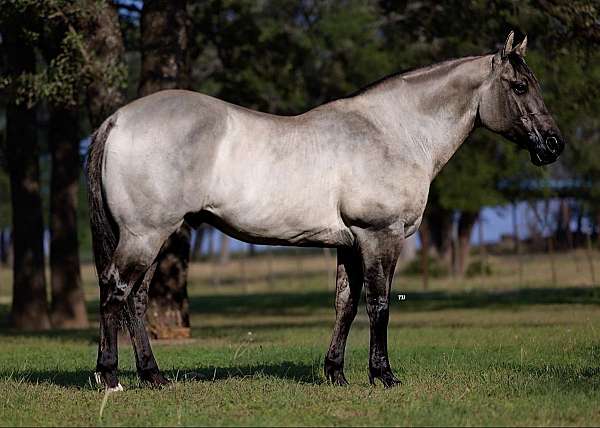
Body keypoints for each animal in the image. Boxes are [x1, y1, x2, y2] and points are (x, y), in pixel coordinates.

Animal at [88, 31, 564, 390]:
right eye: (520, 87)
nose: (554, 144)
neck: (394, 131)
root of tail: (118, 120)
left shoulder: (350, 243)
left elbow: (345, 305)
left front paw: (336, 373)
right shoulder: (379, 235)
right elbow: (378, 304)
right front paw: (383, 375)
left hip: (155, 236)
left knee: (135, 299)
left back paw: (153, 377)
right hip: (145, 235)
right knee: (116, 290)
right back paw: (110, 377)